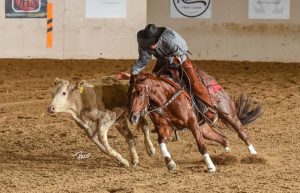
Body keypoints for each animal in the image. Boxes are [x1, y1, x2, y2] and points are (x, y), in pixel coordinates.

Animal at [127, 73, 262, 173]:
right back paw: (227, 155)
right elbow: (161, 141)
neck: (167, 100)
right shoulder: (164, 128)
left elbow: (201, 146)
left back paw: (254, 155)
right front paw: (170, 163)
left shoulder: (192, 124)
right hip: (204, 128)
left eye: (140, 93)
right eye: (129, 94)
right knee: (223, 138)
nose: (132, 117)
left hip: (229, 115)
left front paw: (211, 167)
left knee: (242, 133)